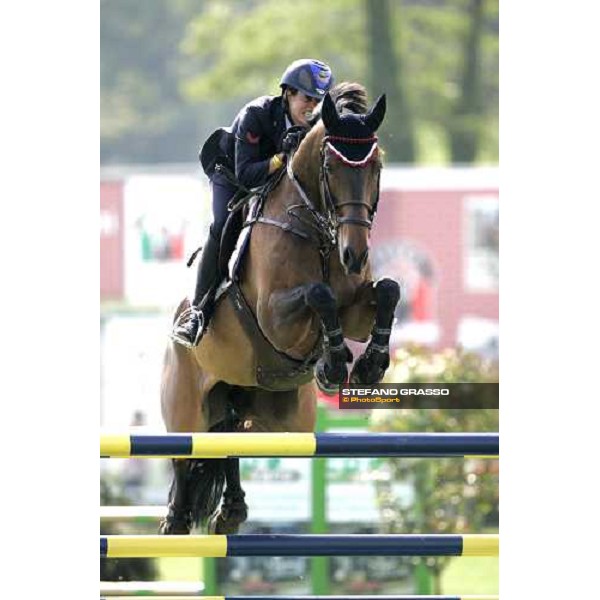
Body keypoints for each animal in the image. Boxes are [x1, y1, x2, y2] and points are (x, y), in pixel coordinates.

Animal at [161, 83, 404, 536]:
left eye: (376, 165)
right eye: (330, 166)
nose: (355, 255)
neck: (318, 231)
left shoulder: (356, 310)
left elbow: (388, 291)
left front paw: (370, 363)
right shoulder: (276, 318)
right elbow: (317, 294)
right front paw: (333, 363)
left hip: (280, 419)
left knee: (231, 437)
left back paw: (232, 510)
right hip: (185, 406)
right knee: (186, 456)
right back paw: (176, 520)